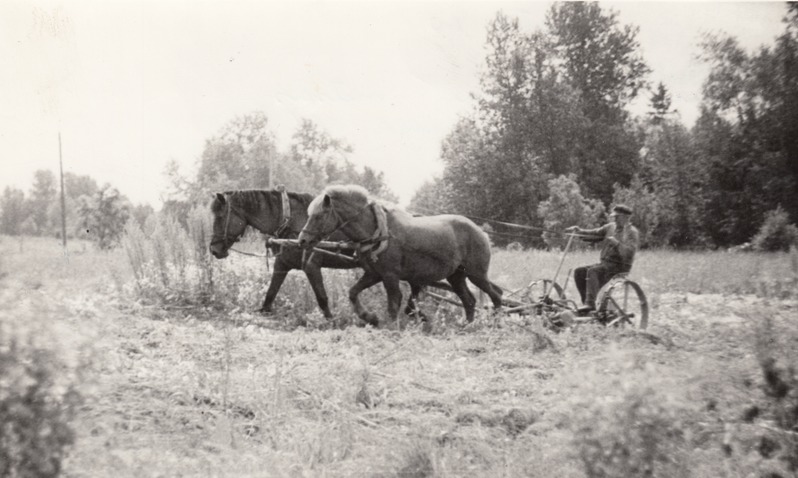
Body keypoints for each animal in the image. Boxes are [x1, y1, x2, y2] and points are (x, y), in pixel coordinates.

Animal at [208, 189, 432, 320]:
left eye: (220, 216)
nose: (214, 249)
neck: (292, 221)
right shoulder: (282, 264)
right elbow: (271, 293)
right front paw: (263, 313)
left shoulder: (311, 266)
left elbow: (322, 297)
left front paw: (332, 321)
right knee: (416, 288)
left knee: (415, 287)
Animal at [296, 185, 504, 326]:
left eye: (318, 216)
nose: (302, 240)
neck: (379, 232)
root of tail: (481, 232)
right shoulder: (374, 274)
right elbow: (353, 292)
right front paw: (369, 317)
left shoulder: (390, 276)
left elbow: (394, 304)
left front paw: (392, 327)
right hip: (456, 276)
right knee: (469, 301)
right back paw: (467, 326)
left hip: (476, 274)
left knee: (496, 296)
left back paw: (495, 323)